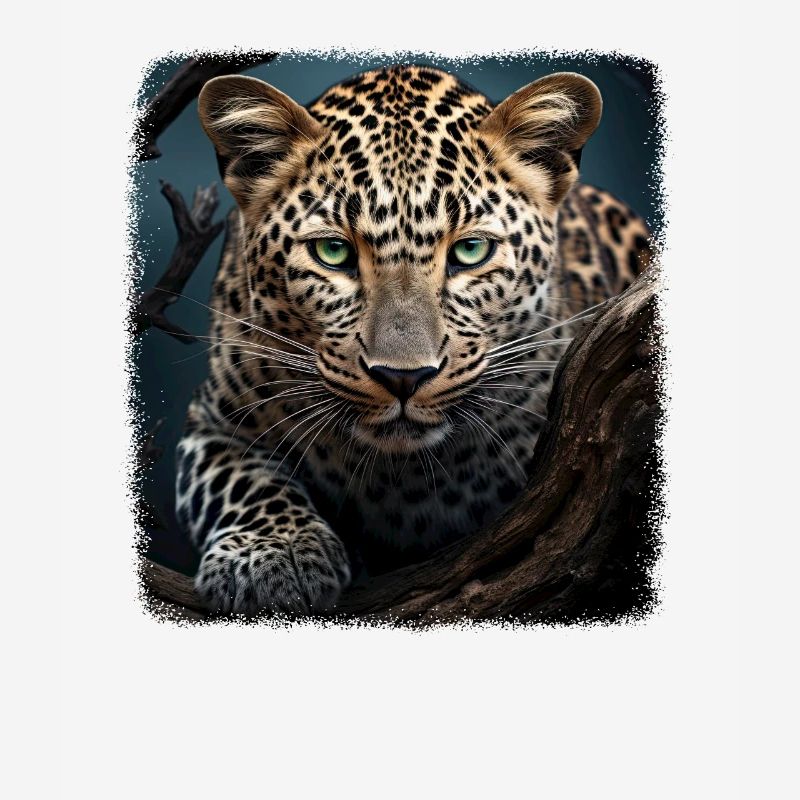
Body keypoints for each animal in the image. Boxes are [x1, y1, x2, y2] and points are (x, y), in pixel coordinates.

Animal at [174, 64, 651, 615]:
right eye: (333, 252)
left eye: (470, 250)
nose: (403, 378)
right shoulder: (211, 422)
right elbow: (242, 481)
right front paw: (272, 554)